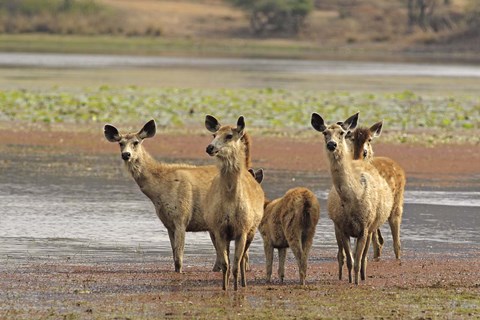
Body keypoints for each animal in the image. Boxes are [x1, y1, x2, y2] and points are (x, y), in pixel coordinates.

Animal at [202, 115, 262, 290]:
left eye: (229, 135)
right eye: (214, 135)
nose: (210, 147)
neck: (229, 202)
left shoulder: (242, 230)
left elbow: (236, 264)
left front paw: (236, 289)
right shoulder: (220, 229)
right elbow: (226, 264)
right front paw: (224, 288)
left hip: (251, 231)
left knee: (242, 260)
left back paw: (243, 283)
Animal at [312, 112, 394, 284]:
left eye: (342, 133)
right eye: (325, 133)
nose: (332, 145)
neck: (351, 200)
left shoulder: (365, 227)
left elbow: (358, 259)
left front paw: (356, 281)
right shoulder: (342, 227)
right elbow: (349, 260)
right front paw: (349, 280)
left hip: (372, 226)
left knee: (364, 257)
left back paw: (363, 276)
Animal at [348, 122, 404, 260]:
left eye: (369, 139)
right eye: (352, 138)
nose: (363, 152)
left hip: (397, 201)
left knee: (395, 234)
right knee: (379, 237)